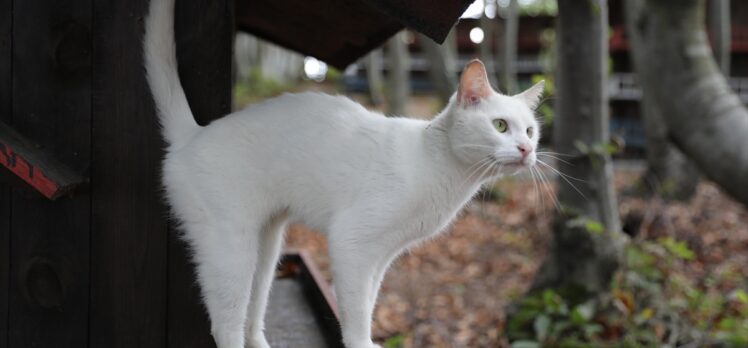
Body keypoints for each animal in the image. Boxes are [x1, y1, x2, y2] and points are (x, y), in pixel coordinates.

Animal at [146, 0, 544, 346]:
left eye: (530, 131)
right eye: (500, 125)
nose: (527, 150)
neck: (443, 171)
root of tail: (194, 134)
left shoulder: (382, 256)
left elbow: (367, 302)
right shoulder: (351, 242)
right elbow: (354, 312)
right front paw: (360, 343)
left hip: (267, 248)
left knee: (252, 316)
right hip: (232, 247)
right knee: (225, 324)